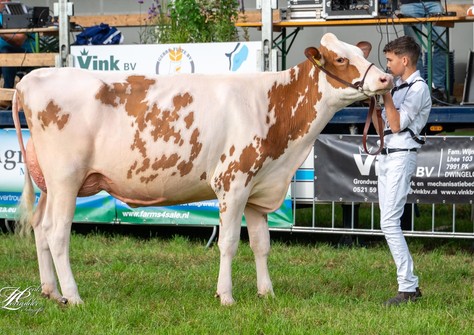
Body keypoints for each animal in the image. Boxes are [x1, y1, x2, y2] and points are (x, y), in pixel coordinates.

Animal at [12, 33, 392, 308]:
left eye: (359, 54)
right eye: (342, 59)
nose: (385, 78)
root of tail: (32, 77)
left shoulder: (258, 188)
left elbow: (262, 244)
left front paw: (266, 292)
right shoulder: (233, 182)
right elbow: (229, 243)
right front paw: (226, 296)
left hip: (48, 184)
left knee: (40, 227)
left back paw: (50, 291)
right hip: (66, 178)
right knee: (57, 233)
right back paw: (73, 296)